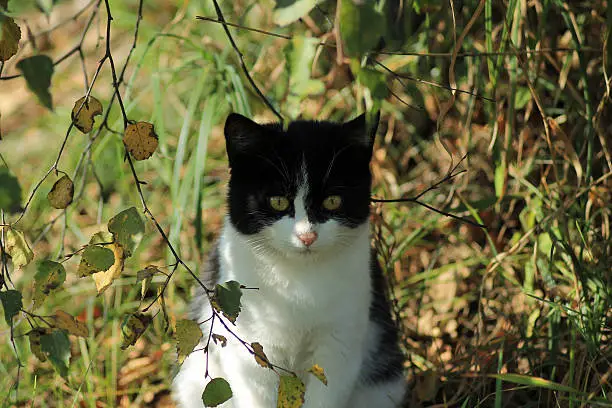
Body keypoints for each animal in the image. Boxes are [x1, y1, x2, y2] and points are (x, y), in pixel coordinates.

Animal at [171, 112, 406, 408]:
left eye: (332, 201)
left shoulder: (338, 345)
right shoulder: (250, 346)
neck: (299, 278)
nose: (307, 236)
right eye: (278, 202)